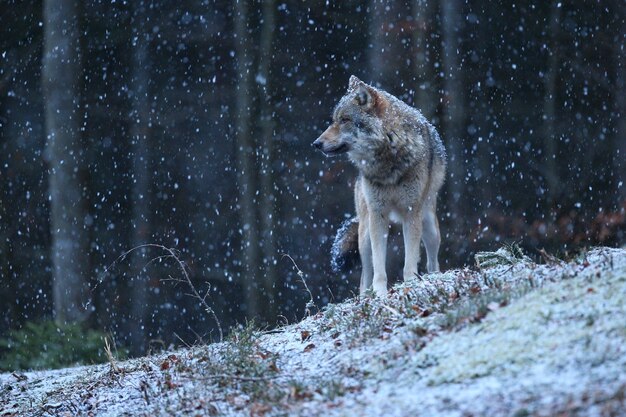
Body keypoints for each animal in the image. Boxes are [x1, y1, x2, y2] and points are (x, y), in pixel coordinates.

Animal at [312, 75, 444, 296]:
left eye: (345, 120)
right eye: (334, 120)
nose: (316, 144)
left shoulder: (411, 213)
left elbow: (410, 262)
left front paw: (410, 285)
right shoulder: (378, 215)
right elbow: (379, 267)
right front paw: (381, 294)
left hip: (429, 227)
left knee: (432, 262)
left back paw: (434, 278)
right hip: (364, 233)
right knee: (365, 275)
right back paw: (366, 295)